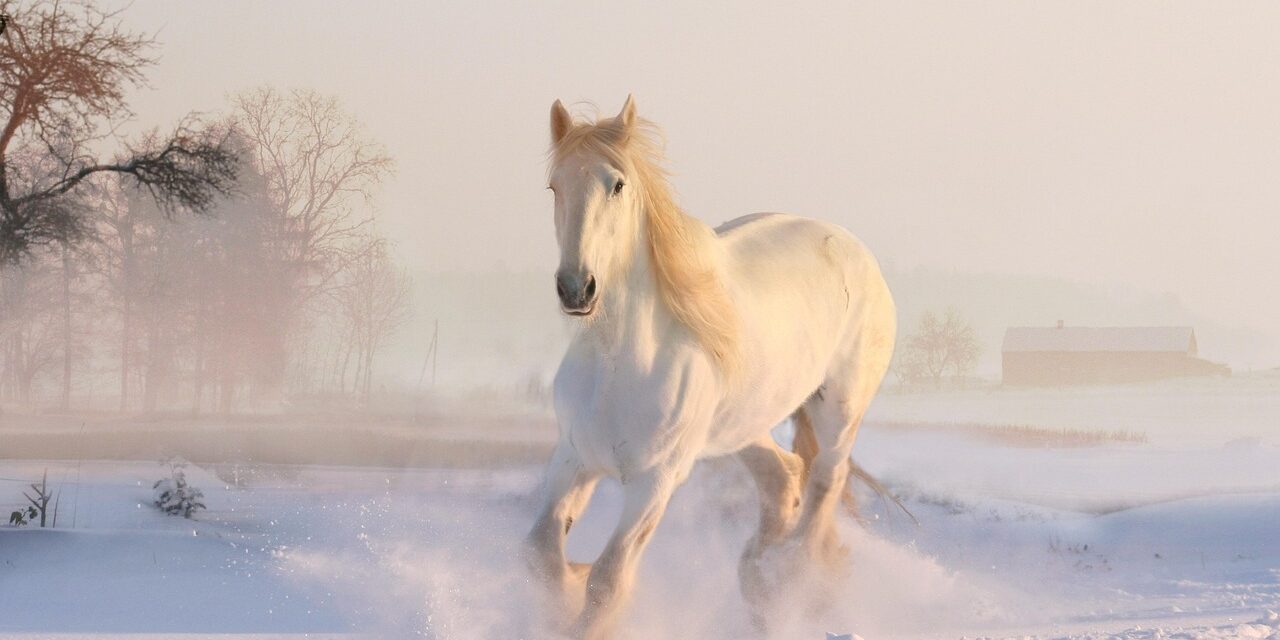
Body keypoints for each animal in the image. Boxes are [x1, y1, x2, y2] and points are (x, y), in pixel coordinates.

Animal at [524, 96, 897, 639]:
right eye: (555, 186)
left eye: (617, 184)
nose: (577, 289)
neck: (620, 364)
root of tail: (854, 248)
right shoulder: (573, 459)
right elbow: (541, 557)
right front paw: (565, 584)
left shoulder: (655, 482)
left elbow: (607, 581)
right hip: (742, 425)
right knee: (784, 478)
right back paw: (759, 580)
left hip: (839, 412)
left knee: (825, 481)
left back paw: (789, 577)